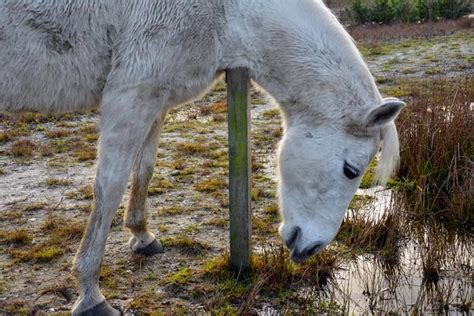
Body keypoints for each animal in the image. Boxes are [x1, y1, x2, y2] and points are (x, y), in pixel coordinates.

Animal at [1, 0, 406, 314]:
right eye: (351, 170)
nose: (311, 248)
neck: (225, 12)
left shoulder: (155, 100)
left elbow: (144, 168)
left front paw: (142, 235)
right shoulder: (130, 97)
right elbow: (109, 187)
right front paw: (90, 294)